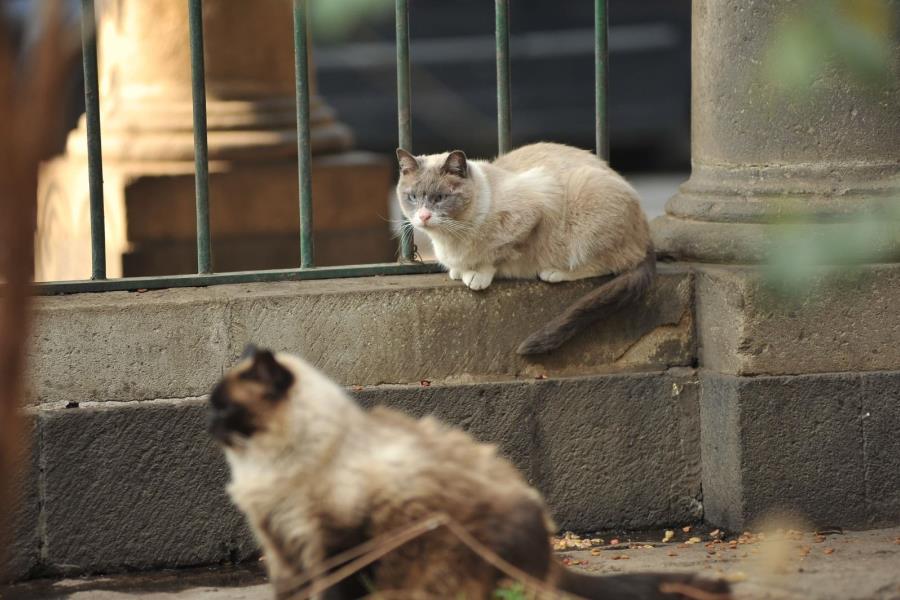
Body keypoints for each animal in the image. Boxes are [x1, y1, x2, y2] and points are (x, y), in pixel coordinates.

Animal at [396, 141, 652, 356]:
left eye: (440, 197)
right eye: (412, 197)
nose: (423, 216)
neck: (450, 236)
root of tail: (647, 233)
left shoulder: (533, 211)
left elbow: (496, 255)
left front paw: (476, 275)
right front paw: (459, 272)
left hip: (586, 210)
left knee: (610, 264)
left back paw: (554, 272)